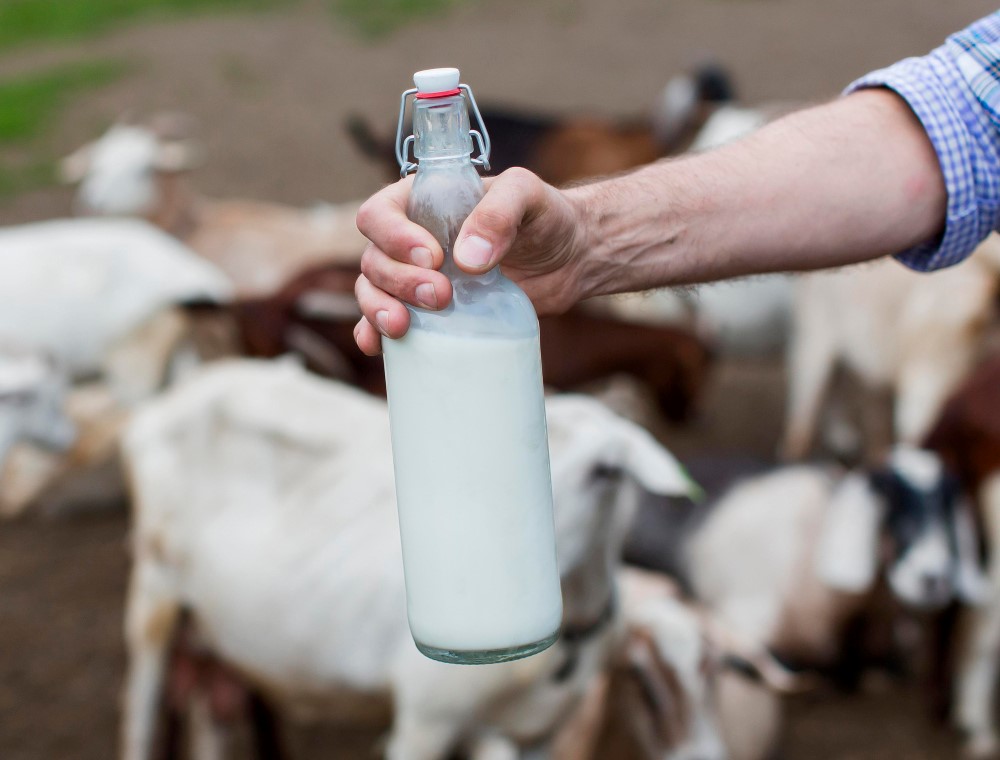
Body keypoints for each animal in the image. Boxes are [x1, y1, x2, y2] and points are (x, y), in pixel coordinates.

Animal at [119, 360, 696, 760]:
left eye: (606, 471)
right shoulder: (425, 720)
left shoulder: (541, 730)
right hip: (152, 596)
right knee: (139, 722)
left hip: (211, 636)